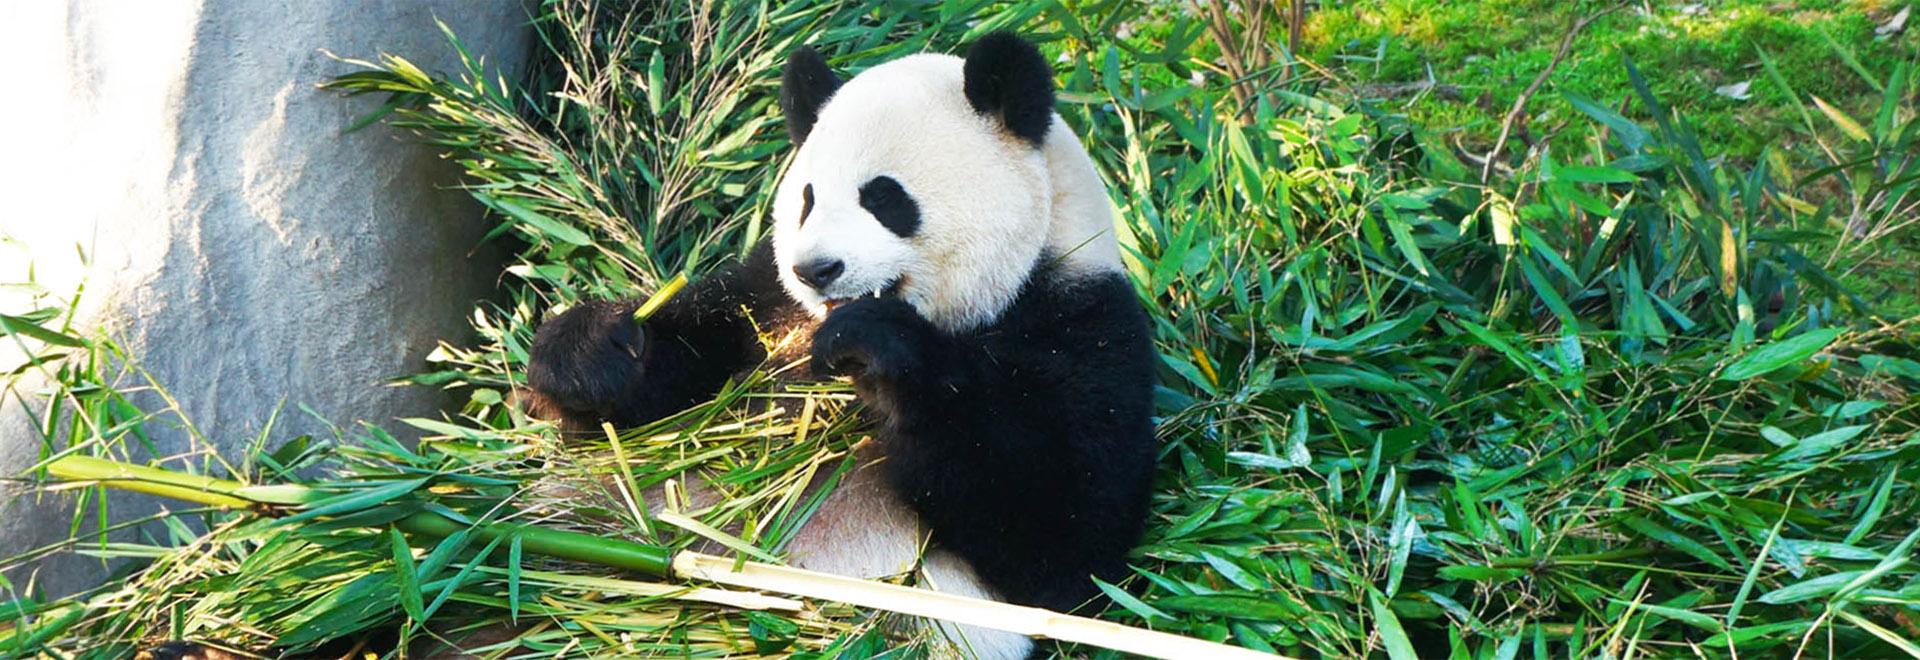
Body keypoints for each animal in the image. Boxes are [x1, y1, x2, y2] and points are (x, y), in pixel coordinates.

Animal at [531, 32, 1160, 659]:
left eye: (884, 198)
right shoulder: (763, 300)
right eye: (807, 199)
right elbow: (663, 389)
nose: (817, 270)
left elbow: (1062, 538)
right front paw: (590, 351)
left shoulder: (1083, 326)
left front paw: (878, 346)